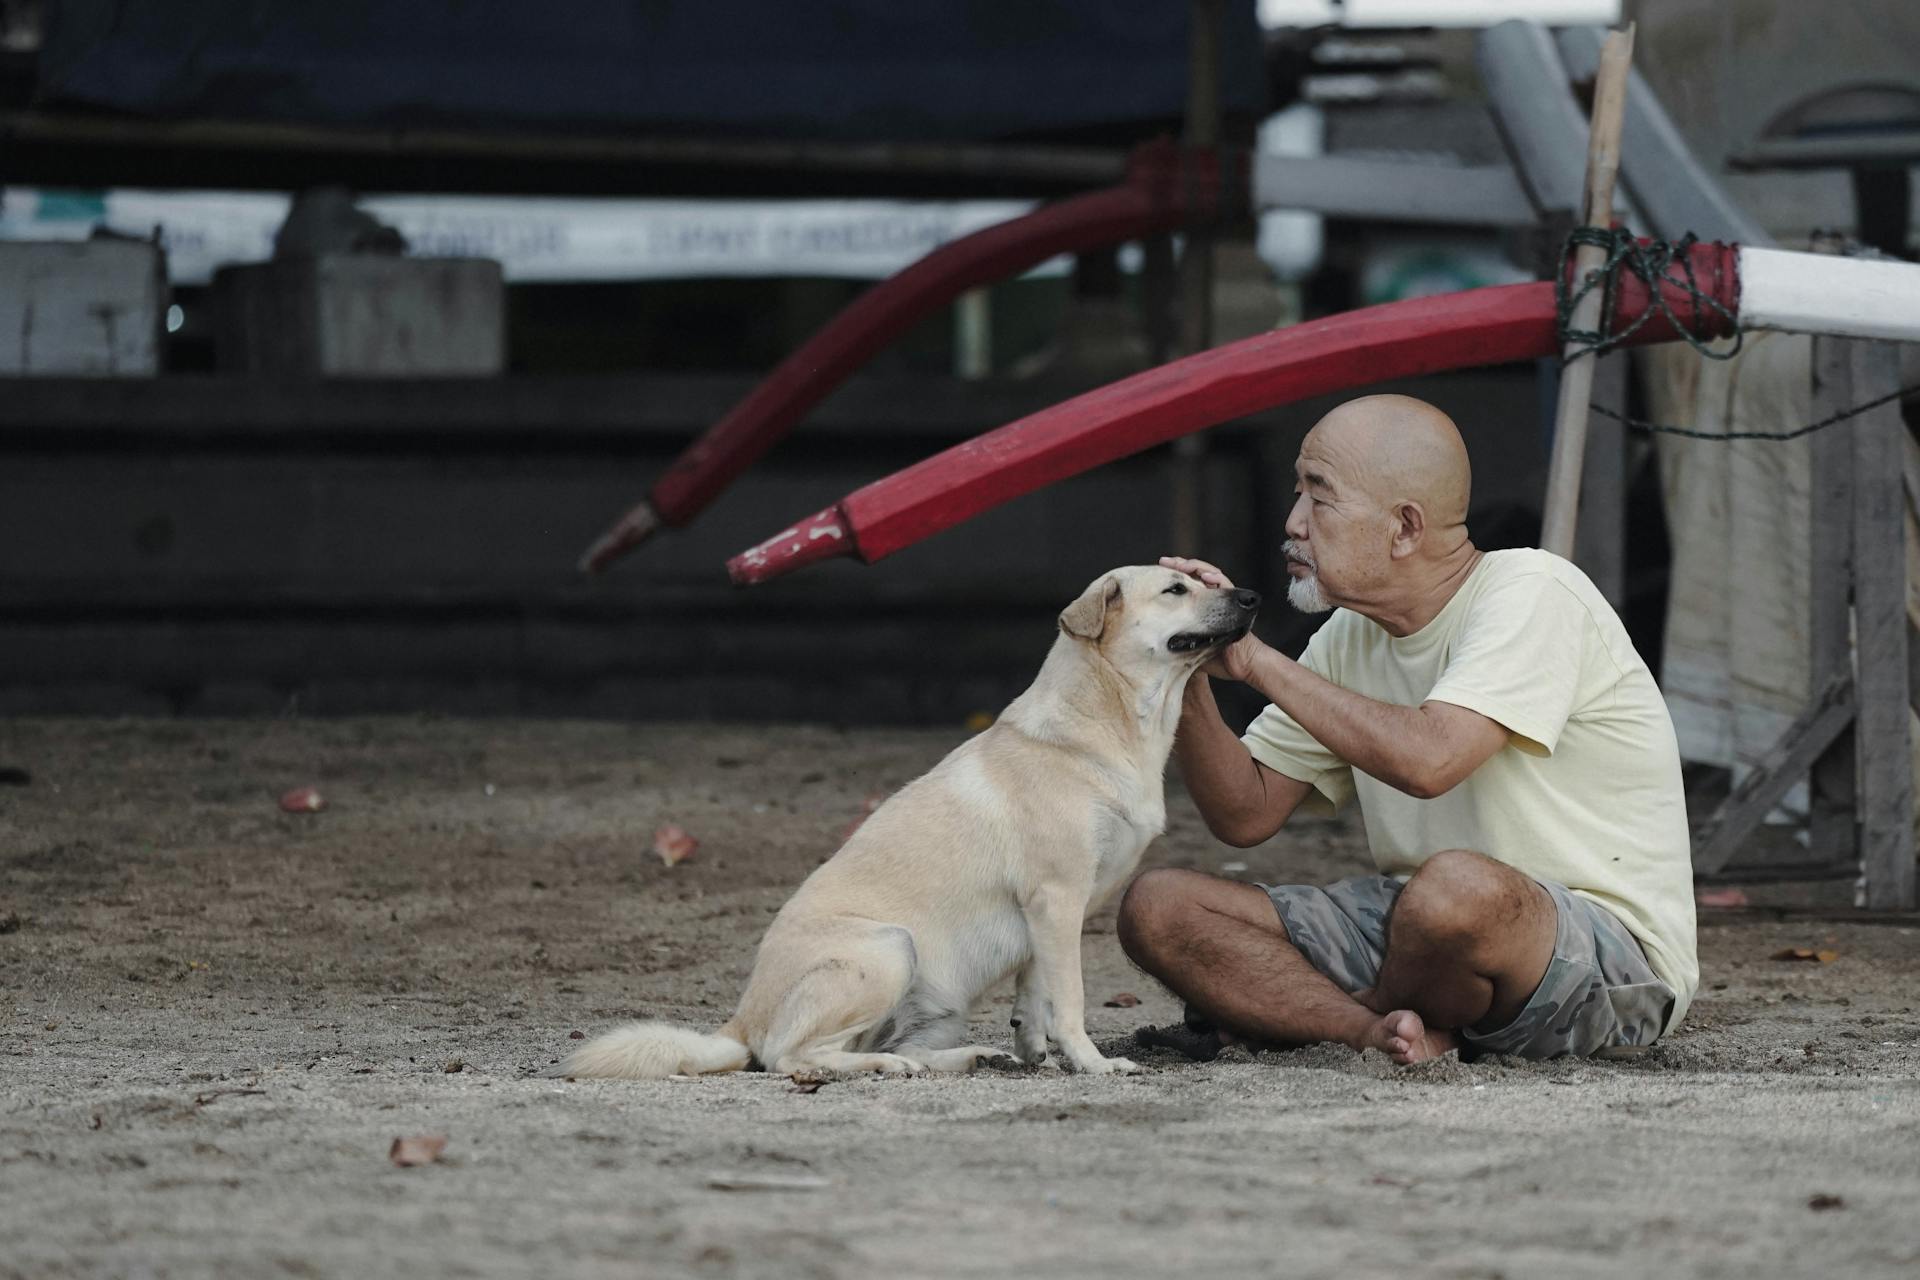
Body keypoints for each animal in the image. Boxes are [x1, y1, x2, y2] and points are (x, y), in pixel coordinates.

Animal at [552, 564, 1259, 1074]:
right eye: (1176, 588)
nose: (1251, 594)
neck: (1105, 725)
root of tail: (741, 1019)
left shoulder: (1047, 916)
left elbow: (1034, 995)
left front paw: (1034, 1053)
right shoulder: (1058, 901)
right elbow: (1071, 1000)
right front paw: (1091, 1064)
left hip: (932, 998)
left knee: (883, 1047)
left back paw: (968, 1057)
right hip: (890, 947)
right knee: (789, 1058)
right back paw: (885, 1069)